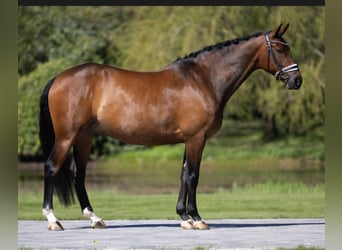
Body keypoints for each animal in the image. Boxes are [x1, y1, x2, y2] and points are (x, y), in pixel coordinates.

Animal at [38, 23, 304, 230]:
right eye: (280, 49)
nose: (297, 80)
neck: (203, 79)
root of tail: (59, 77)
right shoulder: (197, 138)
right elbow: (194, 175)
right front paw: (197, 218)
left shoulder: (190, 139)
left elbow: (184, 174)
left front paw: (184, 217)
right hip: (67, 136)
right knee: (51, 167)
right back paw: (53, 219)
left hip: (85, 138)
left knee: (79, 174)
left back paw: (94, 218)